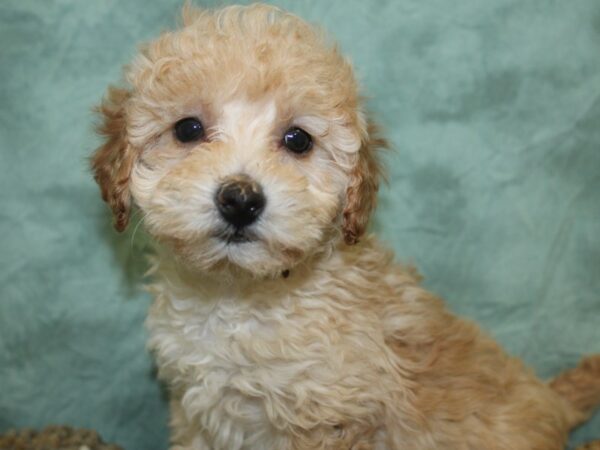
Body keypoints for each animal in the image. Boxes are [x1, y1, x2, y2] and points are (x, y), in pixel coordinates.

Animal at [90, 4, 600, 450]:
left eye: (298, 140)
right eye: (188, 129)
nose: (240, 200)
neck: (239, 297)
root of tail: (552, 400)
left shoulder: (329, 418)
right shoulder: (198, 411)